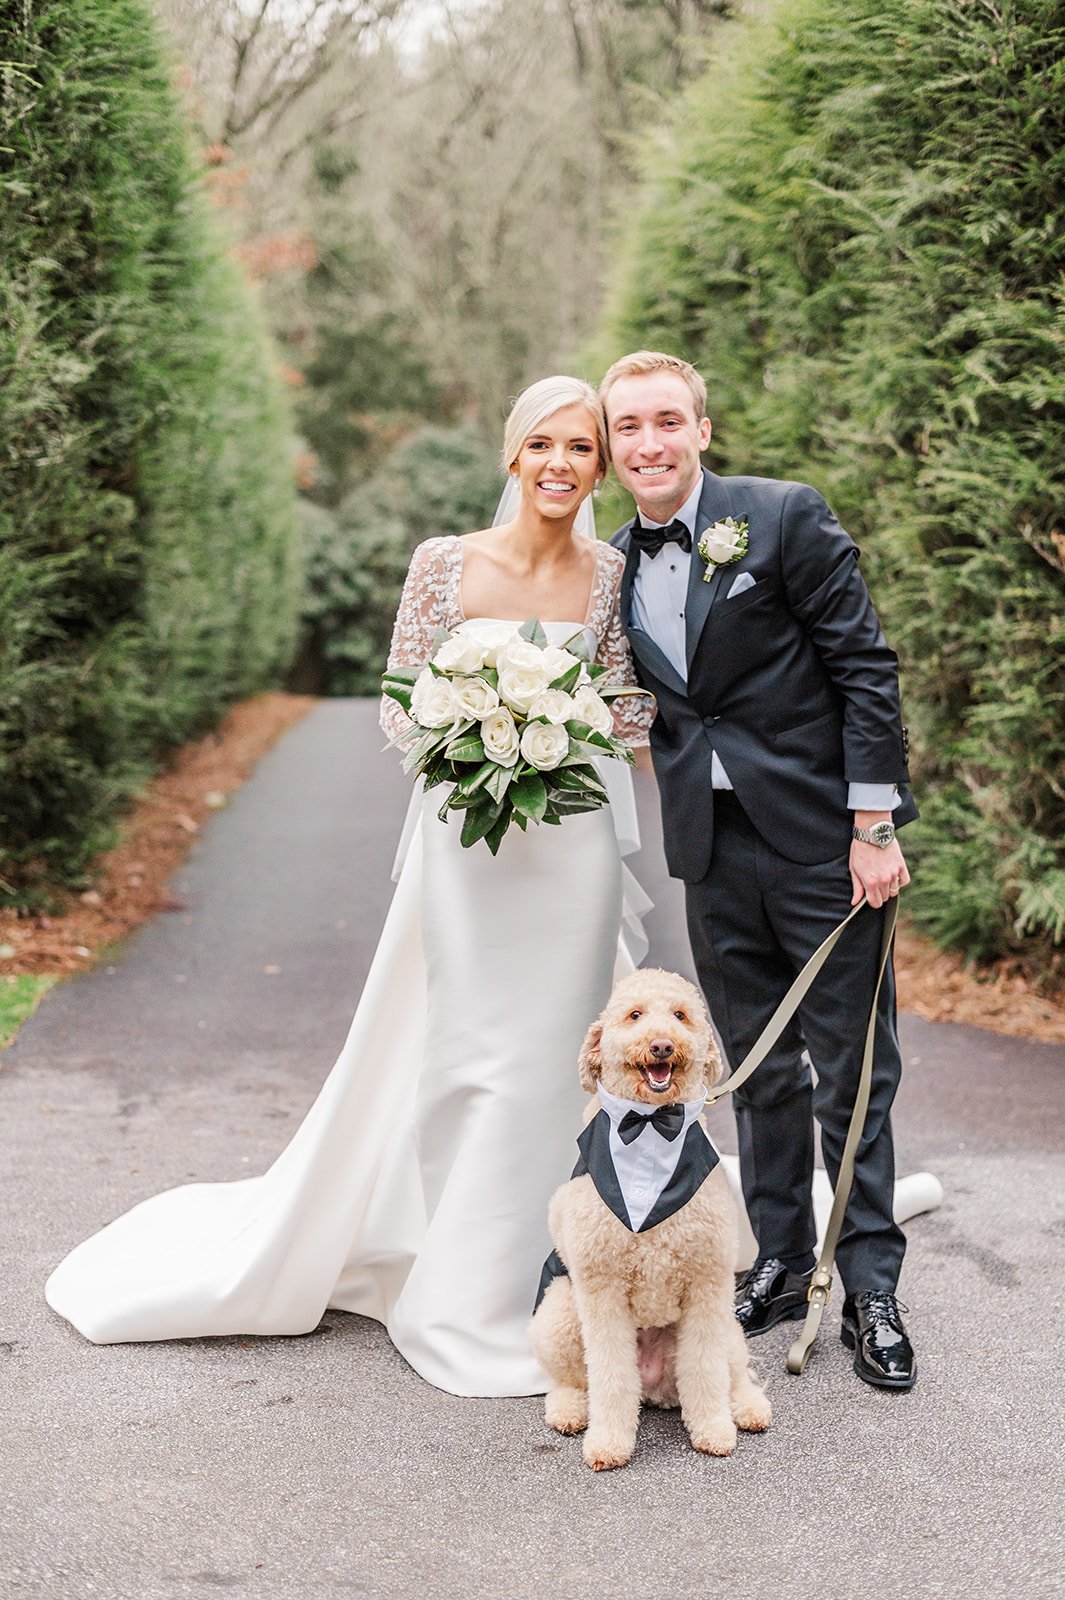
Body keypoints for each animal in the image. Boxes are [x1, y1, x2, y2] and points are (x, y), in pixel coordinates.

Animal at [527, 966, 767, 1465]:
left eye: (680, 1015)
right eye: (634, 1015)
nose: (661, 1046)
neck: (651, 1127)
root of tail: (656, 1390)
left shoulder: (707, 1283)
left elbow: (706, 1369)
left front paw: (714, 1429)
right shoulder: (602, 1291)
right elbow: (610, 1377)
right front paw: (608, 1442)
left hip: (729, 1326)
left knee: (732, 1372)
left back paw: (748, 1407)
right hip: (558, 1312)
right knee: (572, 1380)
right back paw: (569, 1410)